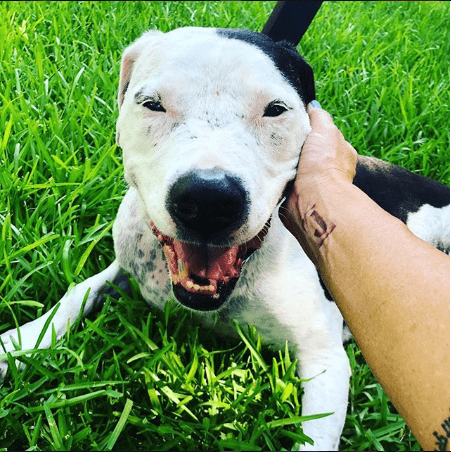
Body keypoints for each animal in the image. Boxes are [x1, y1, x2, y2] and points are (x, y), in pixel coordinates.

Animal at [0, 27, 450, 448]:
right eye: (152, 104)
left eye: (275, 110)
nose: (209, 199)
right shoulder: (127, 267)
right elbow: (77, 292)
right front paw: (19, 343)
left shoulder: (323, 356)